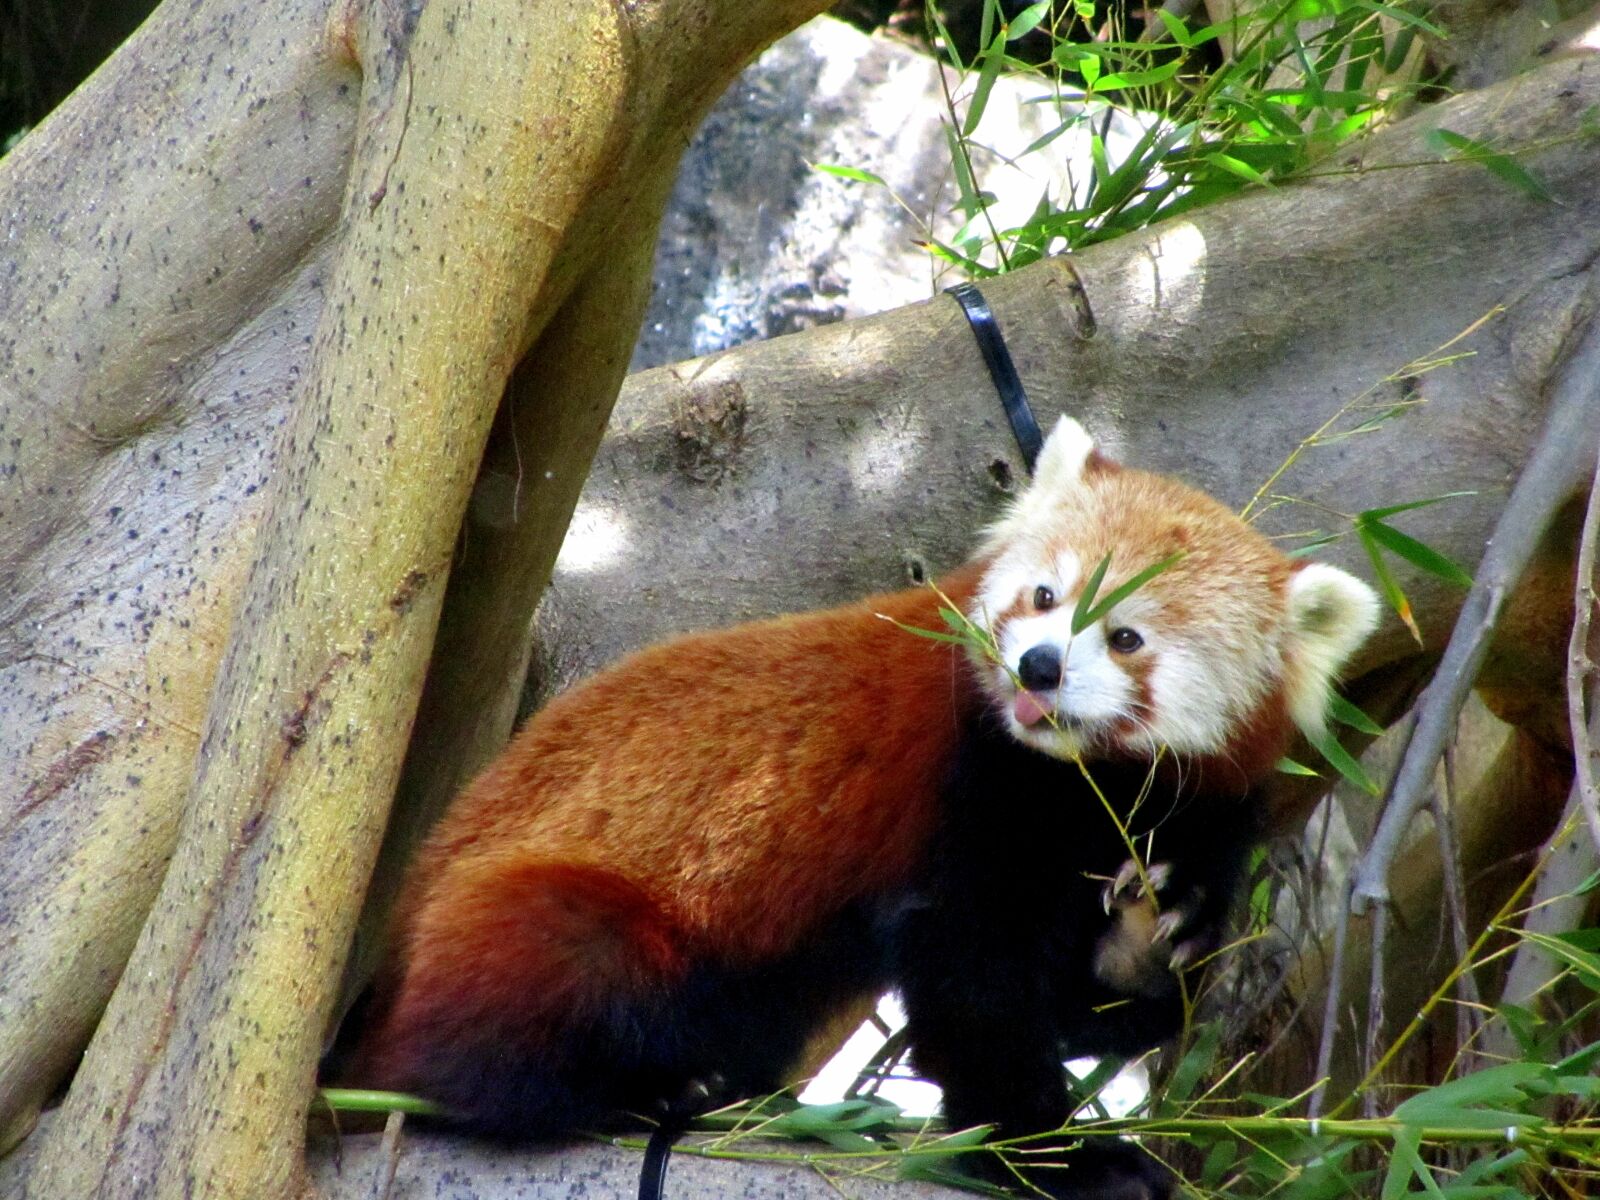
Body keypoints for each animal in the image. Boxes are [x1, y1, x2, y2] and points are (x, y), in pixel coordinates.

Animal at [344, 419, 1382, 1196]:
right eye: (1045, 596)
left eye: (1125, 635)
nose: (1039, 666)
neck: (1084, 784)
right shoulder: (968, 793)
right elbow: (973, 983)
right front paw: (1055, 1157)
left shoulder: (1186, 808)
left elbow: (1107, 982)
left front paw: (1146, 940)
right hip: (550, 909)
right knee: (535, 987)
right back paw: (640, 1090)